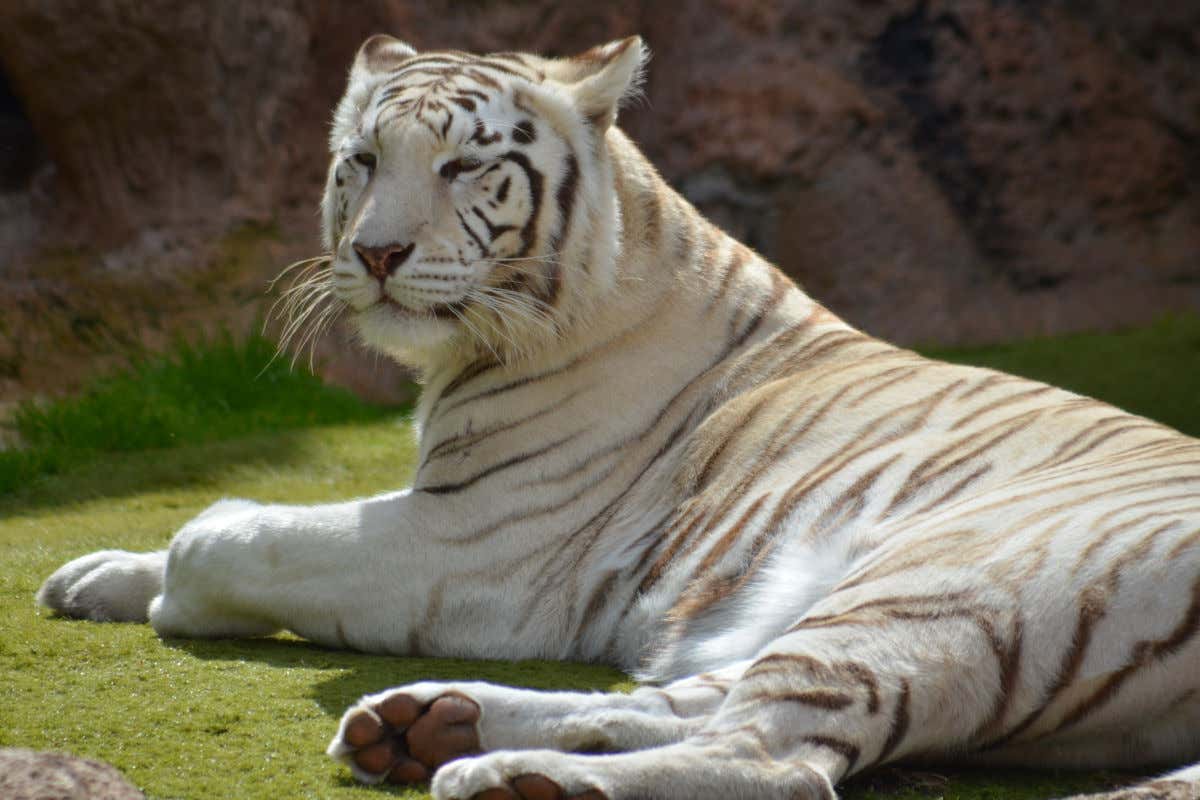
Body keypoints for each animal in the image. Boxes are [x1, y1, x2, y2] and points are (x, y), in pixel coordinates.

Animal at [35, 35, 1200, 800]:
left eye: (463, 164)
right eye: (361, 160)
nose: (375, 252)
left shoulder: (467, 542)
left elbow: (228, 529)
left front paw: (170, 597)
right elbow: (231, 522)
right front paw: (91, 577)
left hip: (945, 579)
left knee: (774, 758)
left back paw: (507, 773)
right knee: (690, 700)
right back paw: (430, 722)